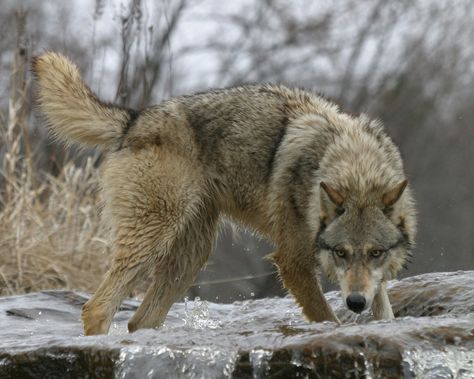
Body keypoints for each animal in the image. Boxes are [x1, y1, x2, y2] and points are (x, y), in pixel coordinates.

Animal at [32, 51, 414, 336]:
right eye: (340, 253)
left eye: (376, 253)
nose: (355, 303)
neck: (355, 168)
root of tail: (134, 119)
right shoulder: (292, 263)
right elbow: (326, 319)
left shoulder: (373, 282)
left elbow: (384, 311)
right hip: (152, 238)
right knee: (97, 309)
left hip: (190, 257)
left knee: (139, 321)